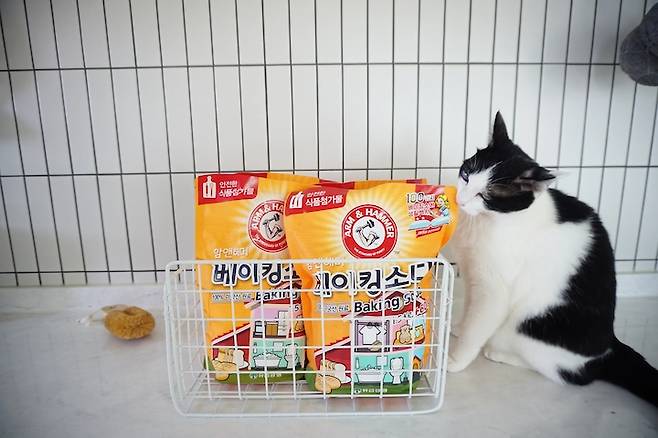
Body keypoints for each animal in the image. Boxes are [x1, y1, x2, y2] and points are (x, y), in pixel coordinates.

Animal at [447, 111, 658, 407]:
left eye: (486, 195)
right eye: (466, 175)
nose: (461, 200)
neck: (486, 221)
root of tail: (609, 345)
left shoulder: (494, 288)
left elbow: (478, 324)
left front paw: (454, 359)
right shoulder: (472, 273)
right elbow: (469, 311)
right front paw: (458, 327)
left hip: (530, 327)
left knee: (571, 374)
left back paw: (500, 353)